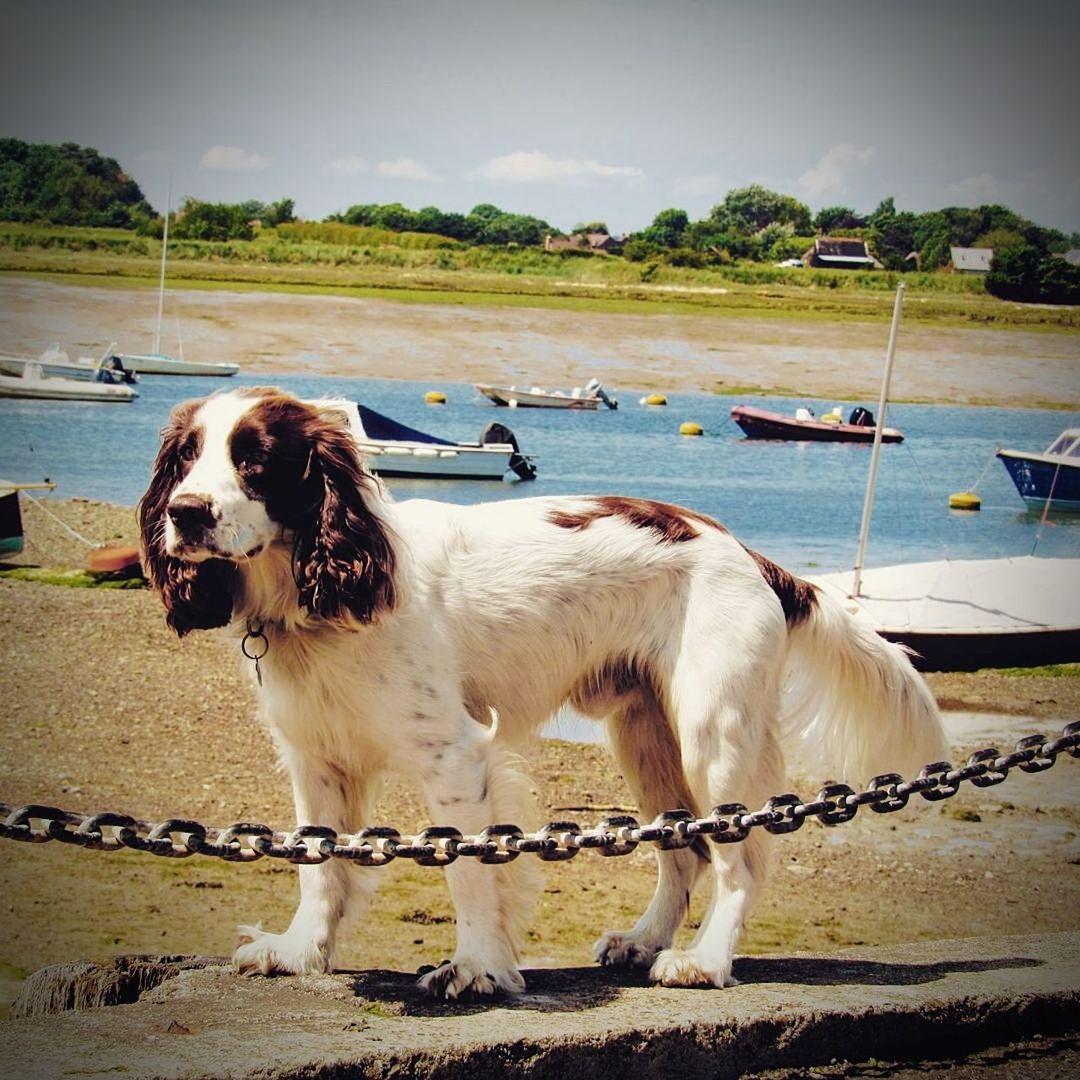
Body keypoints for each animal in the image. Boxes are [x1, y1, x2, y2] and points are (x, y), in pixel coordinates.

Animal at [139, 386, 950, 993]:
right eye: (186, 458)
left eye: (255, 459)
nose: (185, 513)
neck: (322, 599)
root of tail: (748, 553)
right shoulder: (315, 758)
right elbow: (320, 867)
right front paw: (300, 952)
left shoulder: (454, 756)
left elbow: (467, 869)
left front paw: (476, 968)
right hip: (644, 736)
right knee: (682, 848)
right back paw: (642, 940)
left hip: (714, 735)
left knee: (738, 860)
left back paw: (703, 962)